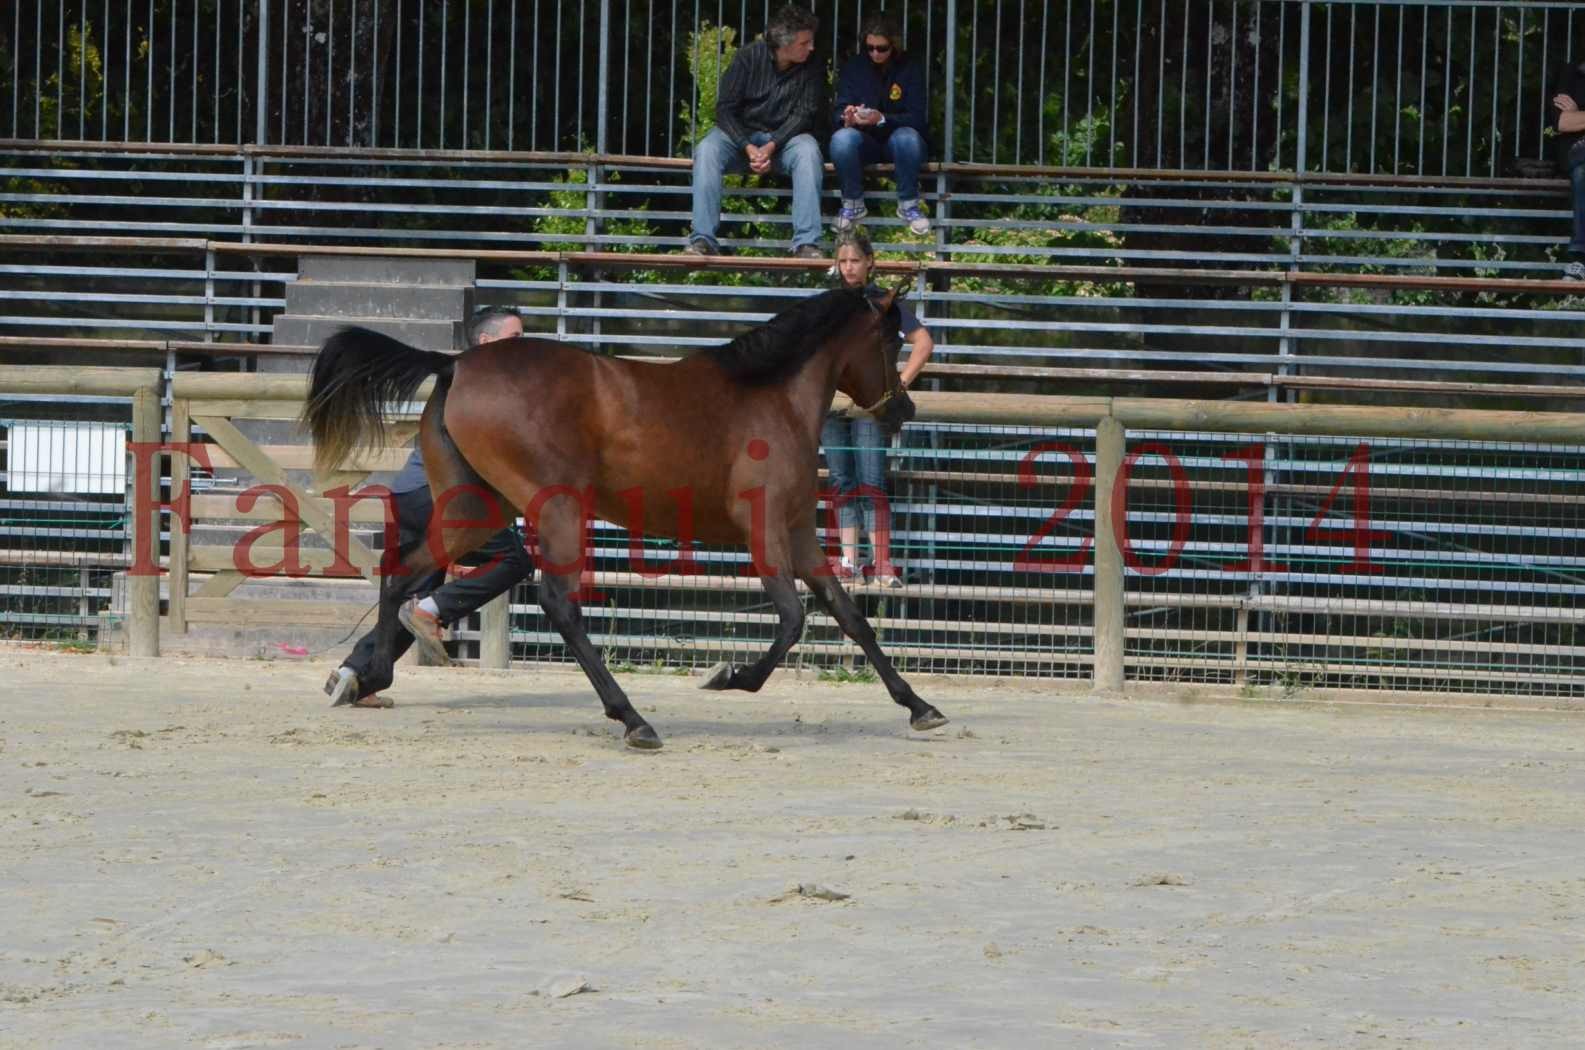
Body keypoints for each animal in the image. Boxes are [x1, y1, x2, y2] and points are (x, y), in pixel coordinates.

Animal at [301, 285, 944, 748]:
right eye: (892, 341)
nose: (904, 408)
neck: (772, 398)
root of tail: (455, 364)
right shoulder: (763, 533)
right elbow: (792, 620)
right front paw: (731, 676)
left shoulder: (800, 535)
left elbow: (850, 616)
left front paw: (921, 707)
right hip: (556, 507)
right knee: (558, 603)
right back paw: (633, 719)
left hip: (474, 509)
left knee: (402, 572)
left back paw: (367, 678)